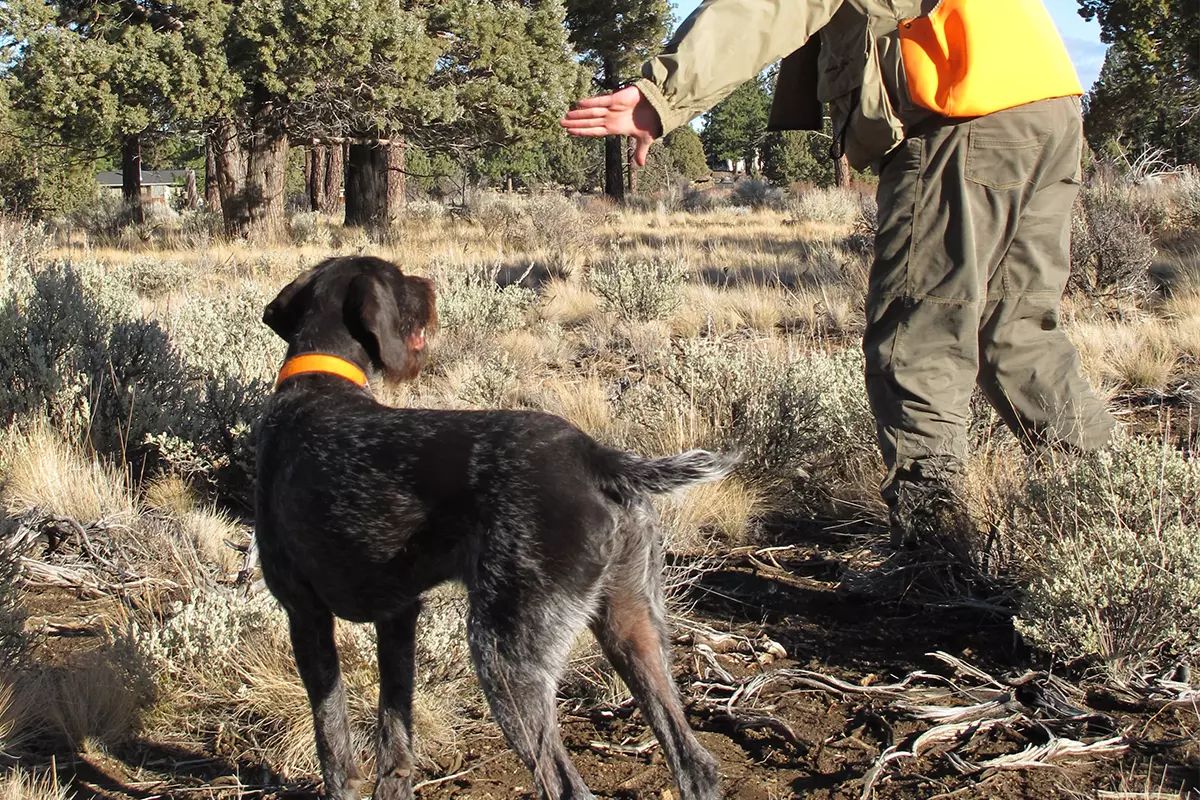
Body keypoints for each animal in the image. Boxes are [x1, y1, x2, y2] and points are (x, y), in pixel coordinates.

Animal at [255, 255, 735, 800]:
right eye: (400, 282)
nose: (429, 284)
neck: (318, 381)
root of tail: (595, 455)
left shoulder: (304, 612)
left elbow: (332, 741)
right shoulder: (397, 617)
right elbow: (394, 736)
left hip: (504, 653)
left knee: (567, 784)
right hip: (632, 623)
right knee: (694, 761)